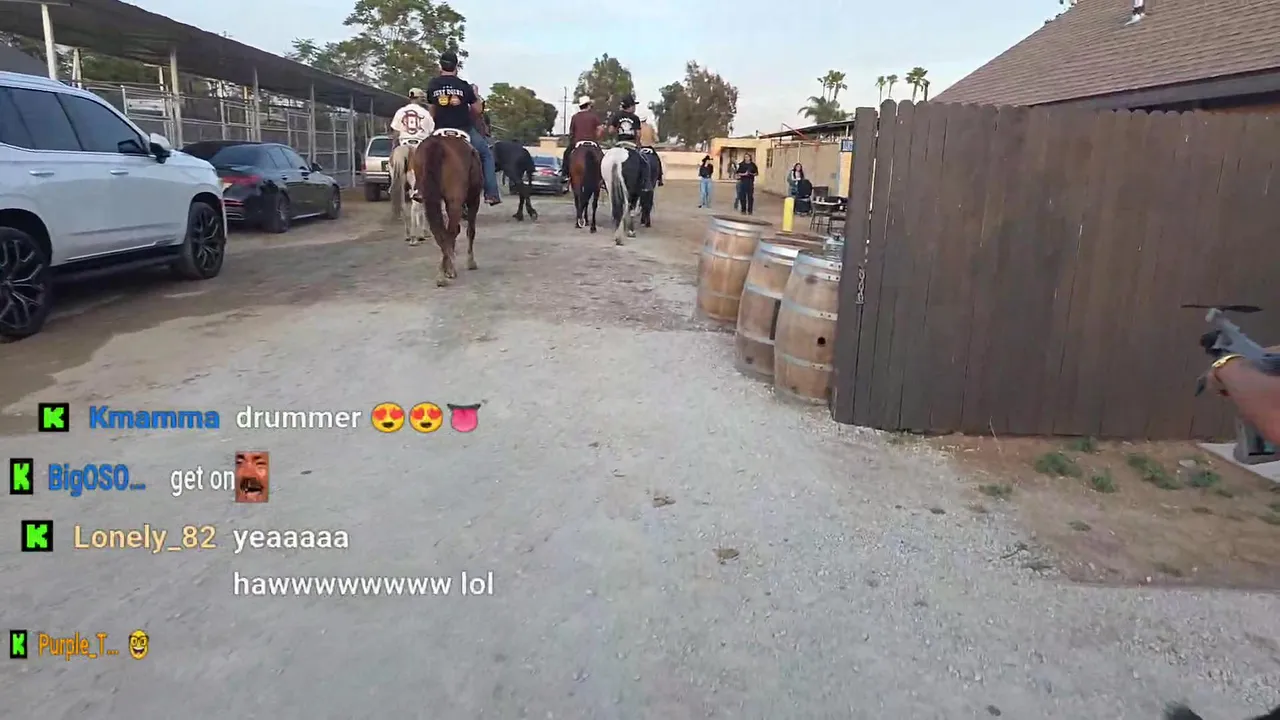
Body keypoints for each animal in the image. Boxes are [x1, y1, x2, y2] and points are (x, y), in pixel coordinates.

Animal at [410, 128, 483, 286]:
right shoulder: (473, 200)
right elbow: (469, 231)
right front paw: (470, 262)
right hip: (457, 201)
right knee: (450, 232)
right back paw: (447, 271)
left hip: (431, 200)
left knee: (440, 232)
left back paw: (443, 272)